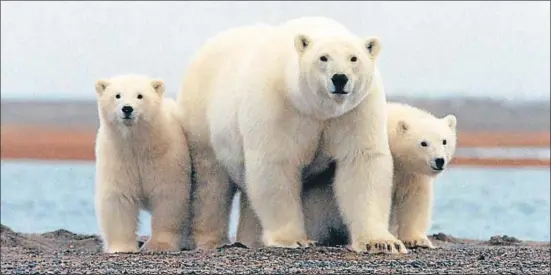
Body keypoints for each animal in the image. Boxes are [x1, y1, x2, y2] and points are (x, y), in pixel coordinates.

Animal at [93, 74, 192, 253]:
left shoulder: (165, 158)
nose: (127, 109)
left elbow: (168, 196)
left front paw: (159, 245)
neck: (137, 145)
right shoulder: (117, 158)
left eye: (140, 95)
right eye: (117, 95)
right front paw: (122, 247)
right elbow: (118, 198)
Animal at [179, 16, 408, 254]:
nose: (339, 78)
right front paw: (293, 239)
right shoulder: (279, 105)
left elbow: (361, 162)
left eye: (354, 58)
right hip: (202, 118)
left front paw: (382, 242)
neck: (317, 109)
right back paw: (211, 240)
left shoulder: (355, 111)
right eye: (323, 57)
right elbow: (276, 164)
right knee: (211, 183)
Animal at [236, 102, 458, 250]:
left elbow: (414, 200)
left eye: (444, 141)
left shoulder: (411, 173)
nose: (439, 161)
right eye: (423, 143)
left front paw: (417, 240)